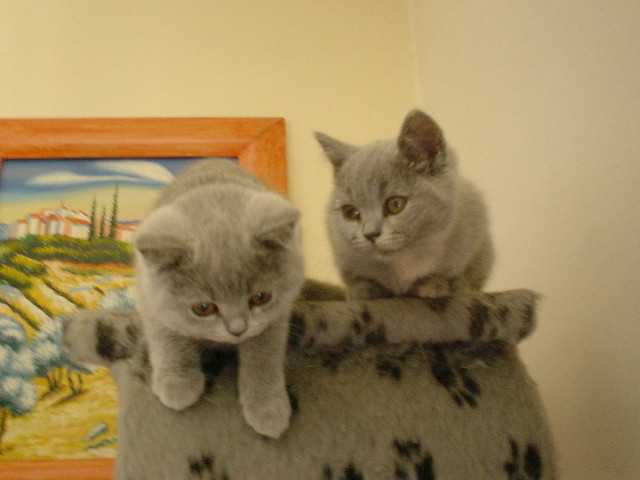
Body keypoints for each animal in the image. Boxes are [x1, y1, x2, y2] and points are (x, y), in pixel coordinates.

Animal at [134, 159, 304, 439]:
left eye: (261, 297)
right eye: (203, 308)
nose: (237, 329)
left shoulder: (276, 315)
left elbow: (264, 355)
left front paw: (267, 410)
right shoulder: (152, 299)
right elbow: (167, 337)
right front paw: (178, 384)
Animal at [315, 109, 493, 301]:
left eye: (395, 204)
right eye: (351, 212)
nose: (370, 234)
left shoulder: (476, 234)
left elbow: (464, 275)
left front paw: (435, 284)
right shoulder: (341, 250)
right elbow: (358, 280)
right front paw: (364, 291)